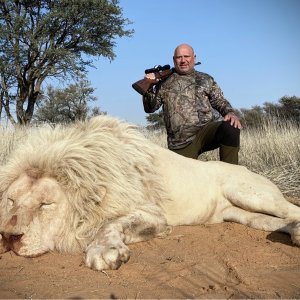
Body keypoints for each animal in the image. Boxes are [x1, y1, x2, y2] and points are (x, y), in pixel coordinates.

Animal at [0, 115, 298, 270]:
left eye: (45, 205)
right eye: (11, 201)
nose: (8, 237)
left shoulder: (152, 213)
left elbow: (108, 224)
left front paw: (105, 251)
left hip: (249, 193)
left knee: (292, 209)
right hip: (242, 214)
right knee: (277, 221)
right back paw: (294, 232)